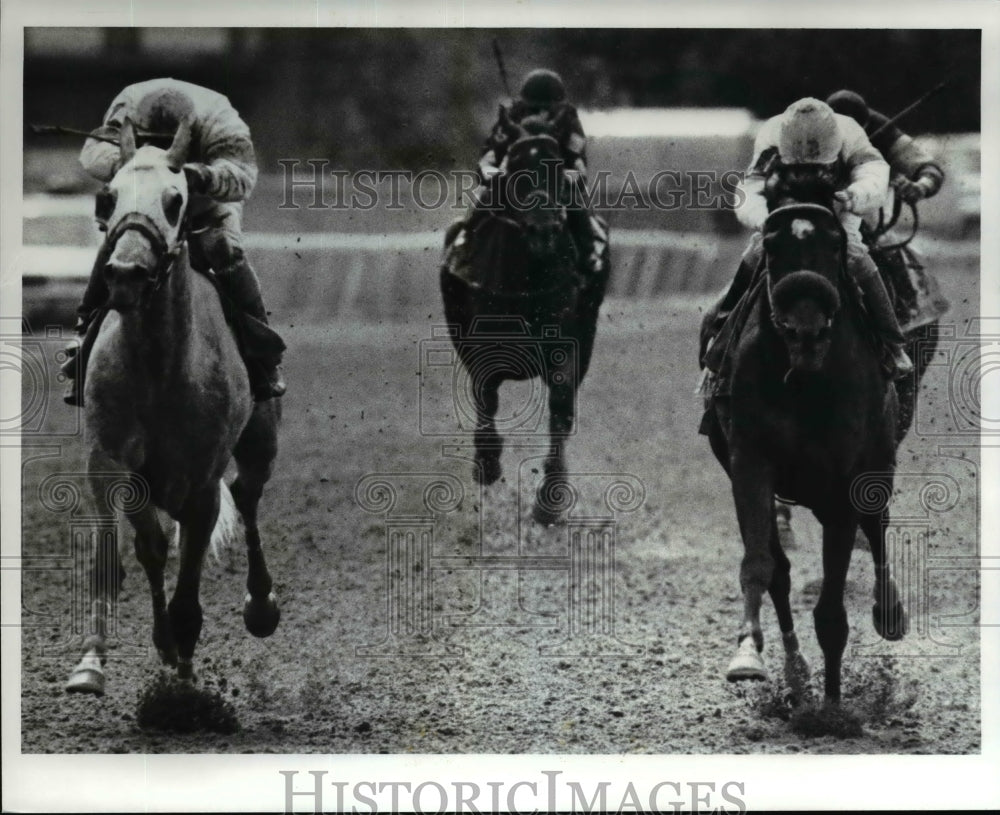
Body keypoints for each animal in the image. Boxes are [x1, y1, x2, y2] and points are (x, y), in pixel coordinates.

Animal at [65, 119, 282, 696]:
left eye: (175, 198)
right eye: (109, 196)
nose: (125, 274)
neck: (161, 366)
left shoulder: (201, 479)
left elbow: (192, 557)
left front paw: (184, 655)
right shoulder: (109, 461)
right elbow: (133, 550)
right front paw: (96, 660)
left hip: (261, 441)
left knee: (247, 497)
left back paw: (261, 605)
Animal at [440, 108, 608, 524]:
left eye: (557, 166)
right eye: (515, 167)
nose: (545, 229)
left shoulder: (567, 340)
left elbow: (560, 407)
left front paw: (551, 498)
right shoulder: (481, 341)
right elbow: (485, 394)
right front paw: (487, 462)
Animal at [704, 164, 908, 700]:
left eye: (835, 244)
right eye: (773, 247)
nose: (806, 332)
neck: (805, 380)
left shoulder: (845, 482)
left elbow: (833, 611)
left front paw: (833, 705)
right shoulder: (750, 463)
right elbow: (762, 564)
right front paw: (750, 654)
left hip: (879, 465)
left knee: (877, 531)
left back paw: (889, 612)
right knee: (780, 568)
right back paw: (796, 669)